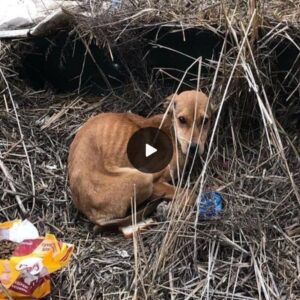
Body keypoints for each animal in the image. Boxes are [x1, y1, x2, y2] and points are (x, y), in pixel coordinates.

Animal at [68, 89, 213, 234]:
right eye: (182, 119)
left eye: (205, 120)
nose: (194, 147)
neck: (172, 133)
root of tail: (91, 214)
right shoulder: (156, 183)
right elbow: (191, 194)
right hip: (143, 177)